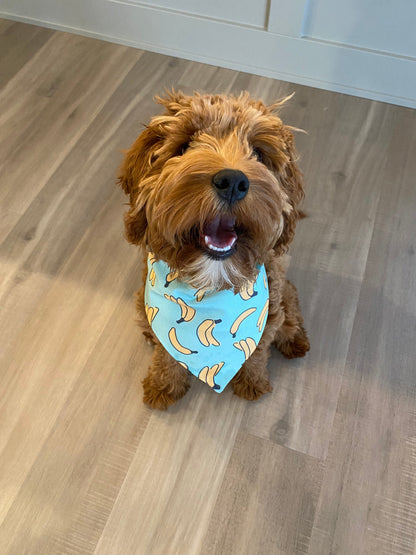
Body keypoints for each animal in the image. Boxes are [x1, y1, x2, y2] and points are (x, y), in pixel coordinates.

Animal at [117, 91, 308, 410]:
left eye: (258, 153)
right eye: (184, 146)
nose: (233, 181)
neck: (210, 283)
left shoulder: (267, 318)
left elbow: (257, 352)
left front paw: (252, 382)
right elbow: (166, 354)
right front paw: (162, 385)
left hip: (283, 294)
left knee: (291, 308)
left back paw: (295, 340)